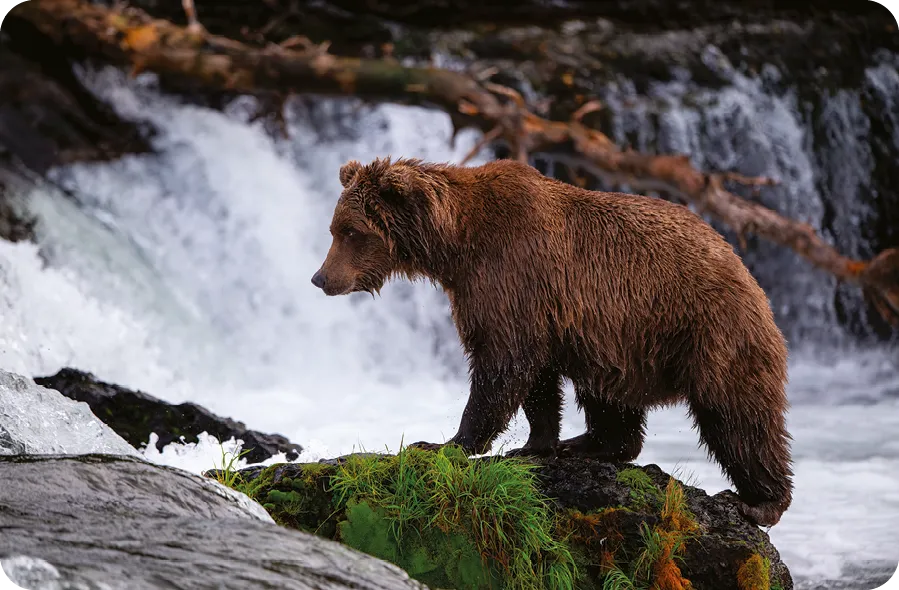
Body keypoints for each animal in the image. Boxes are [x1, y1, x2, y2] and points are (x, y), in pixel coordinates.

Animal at [311, 156, 794, 527]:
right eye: (334, 228)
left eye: (350, 231)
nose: (320, 278)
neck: (456, 245)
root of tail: (744, 268)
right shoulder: (531, 303)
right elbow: (535, 377)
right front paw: (535, 444)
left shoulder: (511, 274)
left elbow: (502, 366)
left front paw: (446, 442)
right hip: (619, 339)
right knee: (608, 393)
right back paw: (587, 444)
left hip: (705, 329)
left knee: (736, 413)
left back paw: (759, 502)